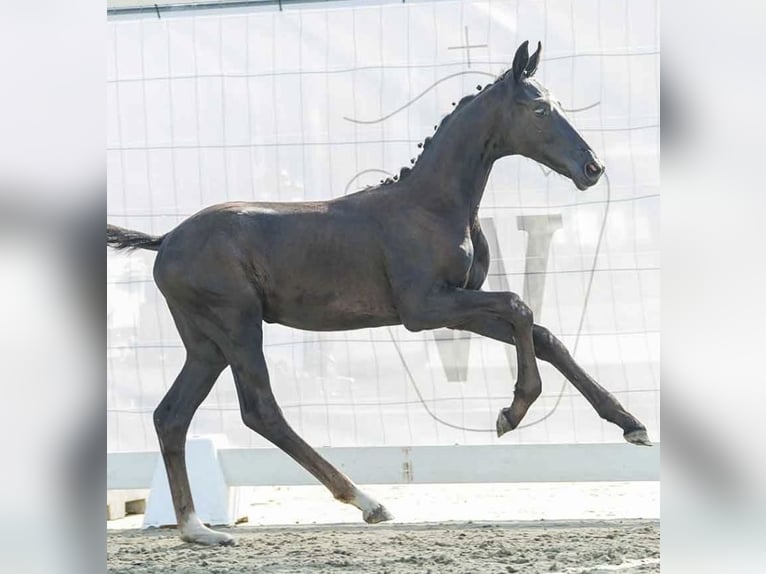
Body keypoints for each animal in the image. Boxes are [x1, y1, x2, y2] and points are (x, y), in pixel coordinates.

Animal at [106, 42, 648, 548]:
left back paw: (197, 529)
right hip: (236, 326)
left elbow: (542, 333)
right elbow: (519, 306)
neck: (430, 206)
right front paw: (511, 413)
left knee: (171, 416)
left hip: (206, 343)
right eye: (539, 109)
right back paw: (366, 501)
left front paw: (631, 424)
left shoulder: (455, 306)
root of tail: (165, 240)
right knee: (260, 410)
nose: (593, 167)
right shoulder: (424, 308)